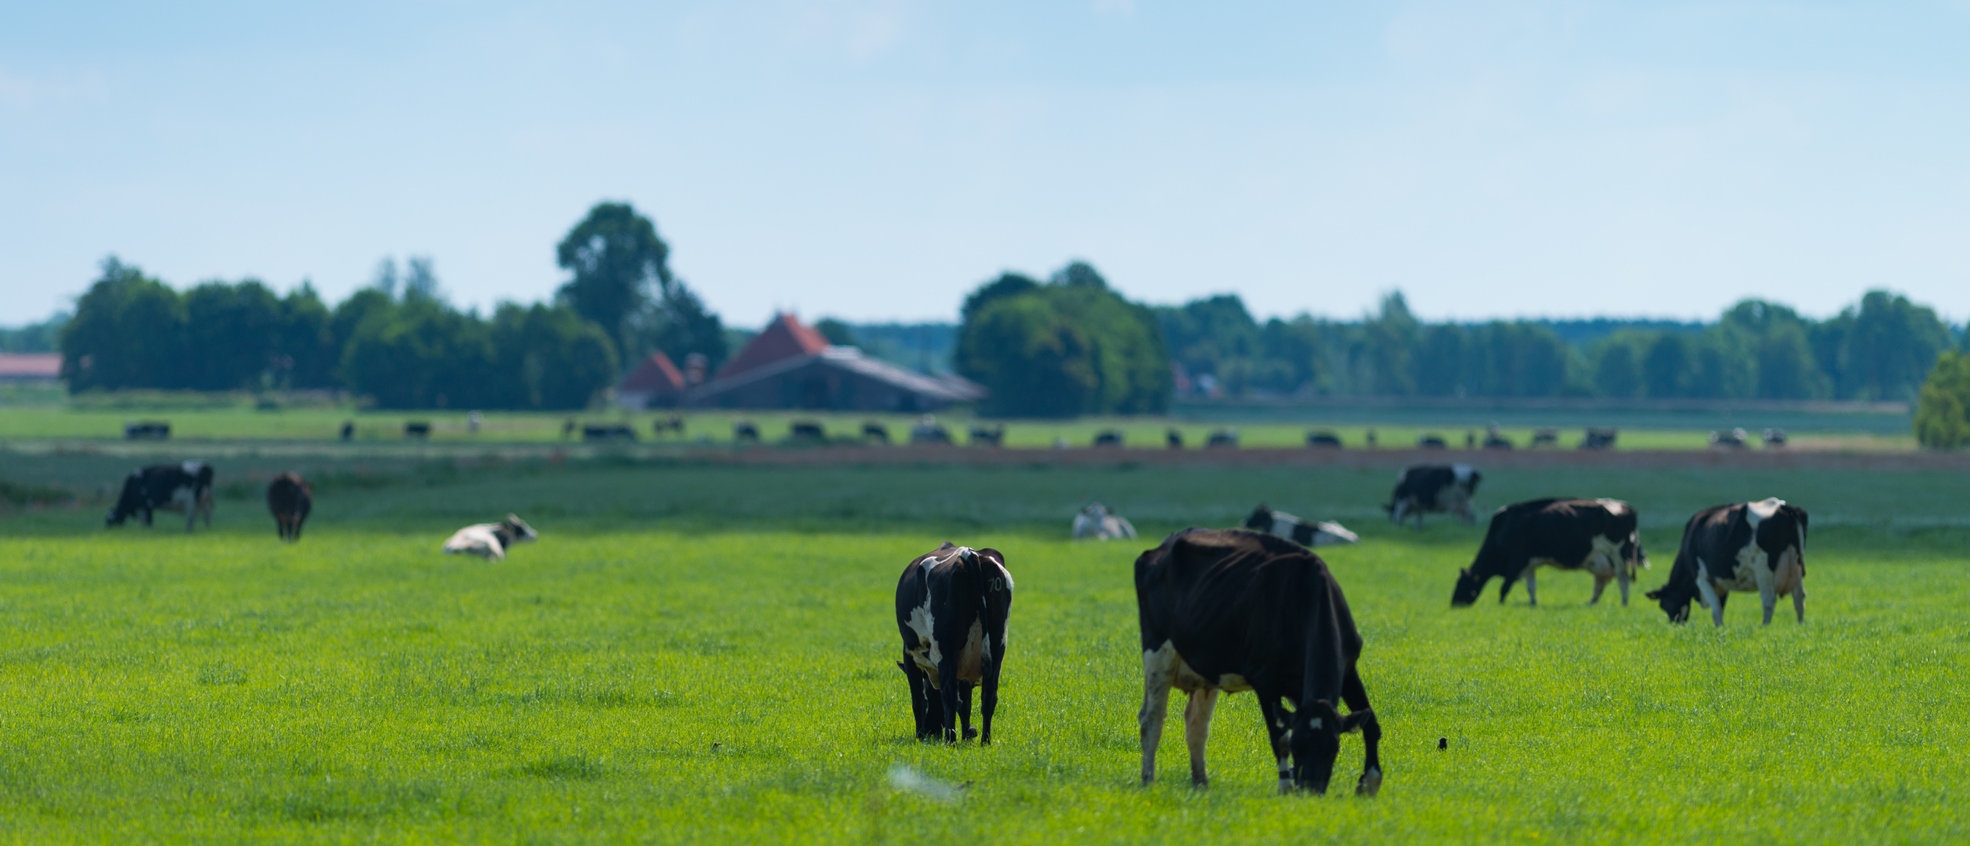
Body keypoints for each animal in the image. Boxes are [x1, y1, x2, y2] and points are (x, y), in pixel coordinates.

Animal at [898, 544, 1016, 741]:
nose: (931, 731)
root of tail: (970, 554)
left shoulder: (910, 654)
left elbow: (919, 700)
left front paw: (920, 736)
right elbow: (965, 703)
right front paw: (968, 732)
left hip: (946, 650)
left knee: (949, 695)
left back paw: (950, 740)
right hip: (997, 645)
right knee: (989, 695)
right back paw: (985, 741)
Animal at [1142, 524, 1386, 792]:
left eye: (1333, 749)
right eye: (1298, 748)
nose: (1310, 790)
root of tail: (1171, 539)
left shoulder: (1349, 668)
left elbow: (1371, 724)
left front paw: (1370, 782)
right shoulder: (1265, 680)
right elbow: (1279, 738)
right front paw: (1286, 788)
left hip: (1208, 668)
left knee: (1196, 724)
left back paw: (1201, 784)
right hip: (1157, 651)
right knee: (1151, 719)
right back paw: (1148, 780)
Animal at [1449, 494, 1646, 607]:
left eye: (1462, 584)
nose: (1454, 603)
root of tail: (1628, 508)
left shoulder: (1516, 562)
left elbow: (1504, 588)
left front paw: (1501, 605)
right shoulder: (1528, 565)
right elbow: (1531, 587)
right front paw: (1533, 604)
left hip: (1617, 555)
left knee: (1623, 580)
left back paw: (1624, 603)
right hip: (1602, 559)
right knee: (1600, 584)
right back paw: (1590, 603)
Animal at [1639, 496, 1804, 623]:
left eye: (1664, 605)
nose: (1675, 624)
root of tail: (1784, 506)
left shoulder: (1702, 577)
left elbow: (1716, 610)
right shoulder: (1721, 583)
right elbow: (1721, 607)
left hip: (1763, 569)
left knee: (1769, 601)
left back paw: (1764, 627)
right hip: (1797, 567)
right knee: (1799, 599)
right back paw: (1800, 625)